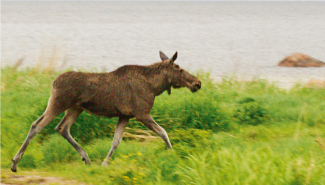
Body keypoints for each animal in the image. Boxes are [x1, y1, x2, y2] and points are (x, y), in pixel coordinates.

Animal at [10, 51, 200, 172]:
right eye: (179, 68)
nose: (197, 83)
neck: (155, 86)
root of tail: (53, 82)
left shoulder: (125, 115)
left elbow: (116, 141)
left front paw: (104, 163)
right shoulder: (142, 113)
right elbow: (163, 132)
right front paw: (173, 154)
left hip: (75, 108)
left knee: (62, 128)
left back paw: (86, 158)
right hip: (59, 103)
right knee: (37, 125)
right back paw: (15, 162)